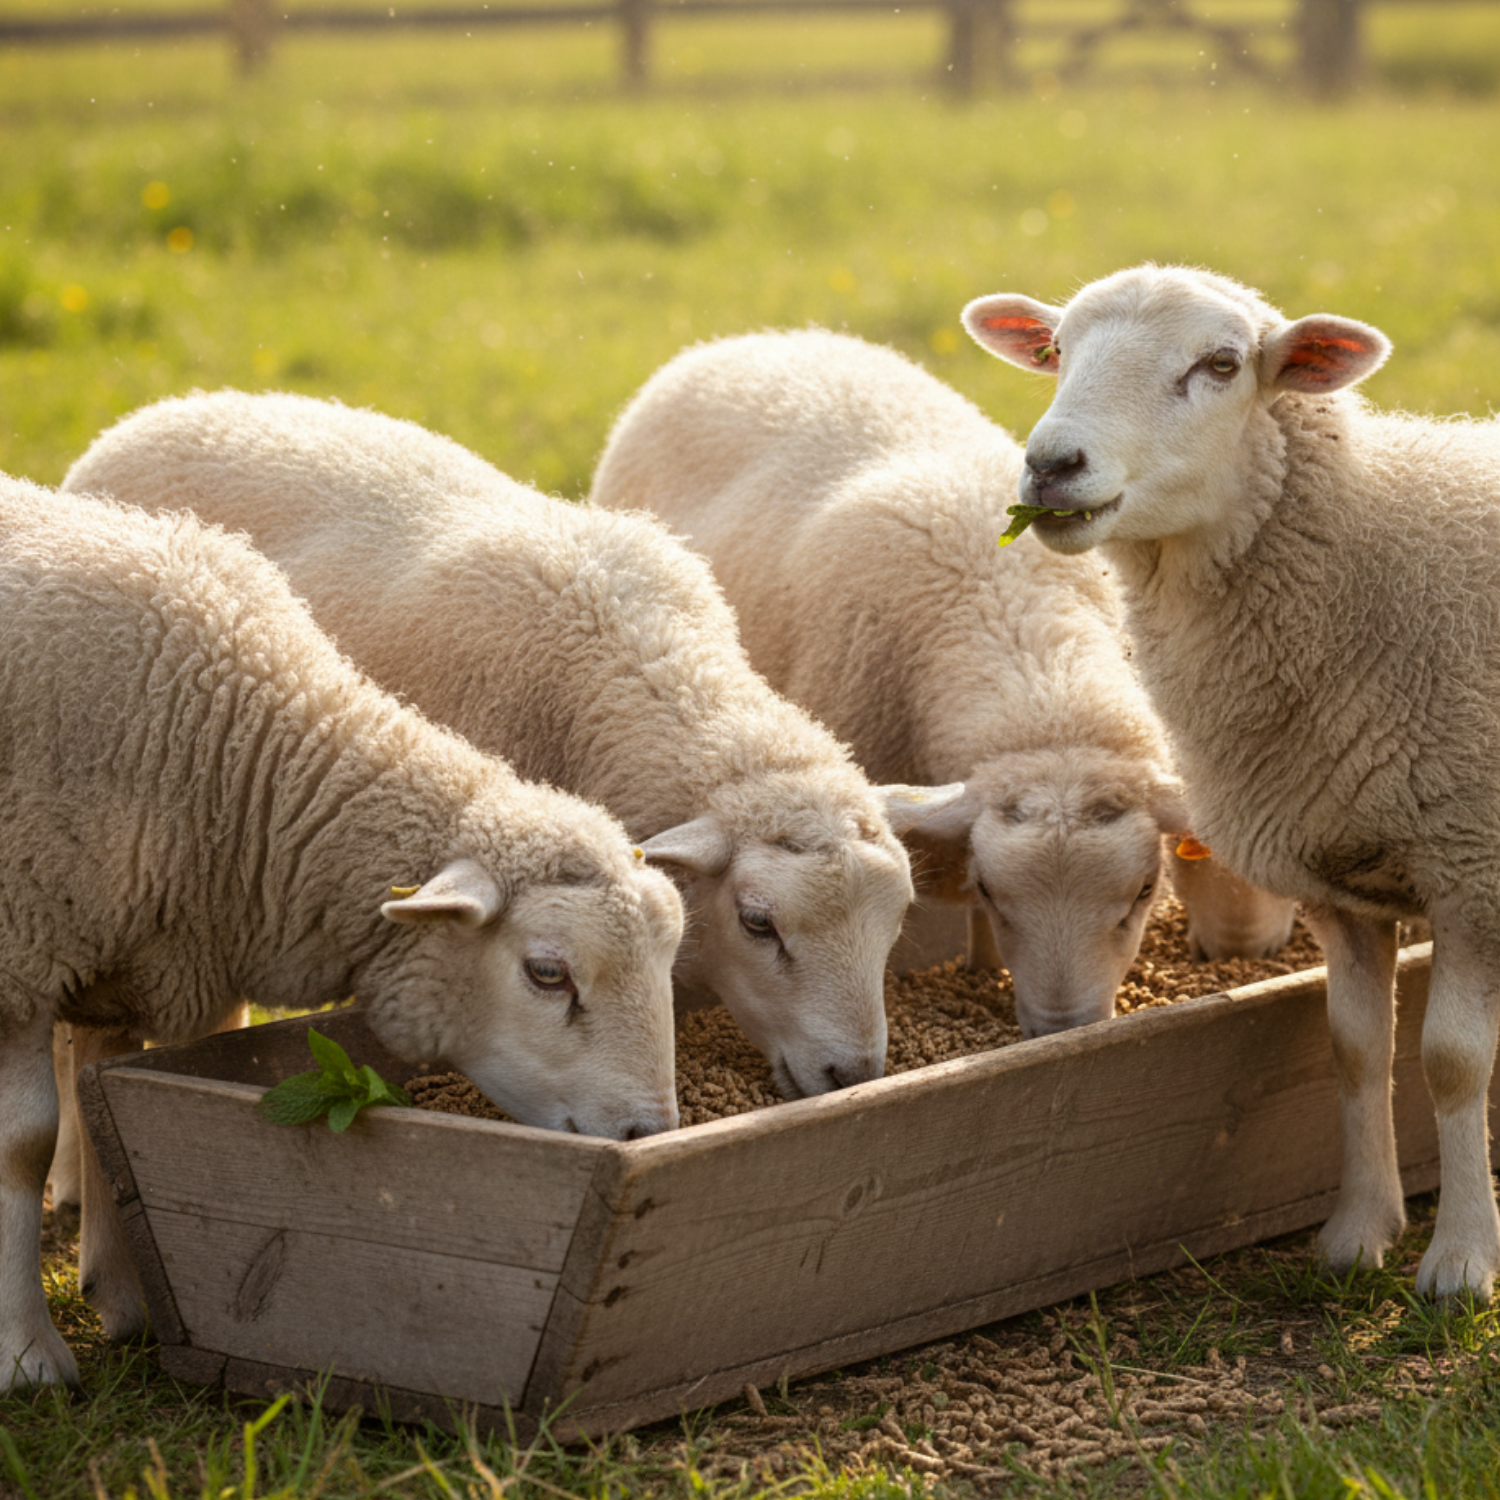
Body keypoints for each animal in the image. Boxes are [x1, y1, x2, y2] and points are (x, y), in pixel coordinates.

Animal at [0, 478, 684, 1389]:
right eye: (548, 973)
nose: (650, 1135)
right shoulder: (20, 950)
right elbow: (24, 1143)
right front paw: (27, 1355)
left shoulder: (134, 952)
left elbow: (100, 1099)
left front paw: (126, 1297)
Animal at [961, 261, 1500, 1299]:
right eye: (1058, 352)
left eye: (1219, 365)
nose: (1050, 466)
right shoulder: (1339, 879)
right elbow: (1353, 1051)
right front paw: (1358, 1234)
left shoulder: (1471, 868)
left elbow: (1453, 1063)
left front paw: (1460, 1263)